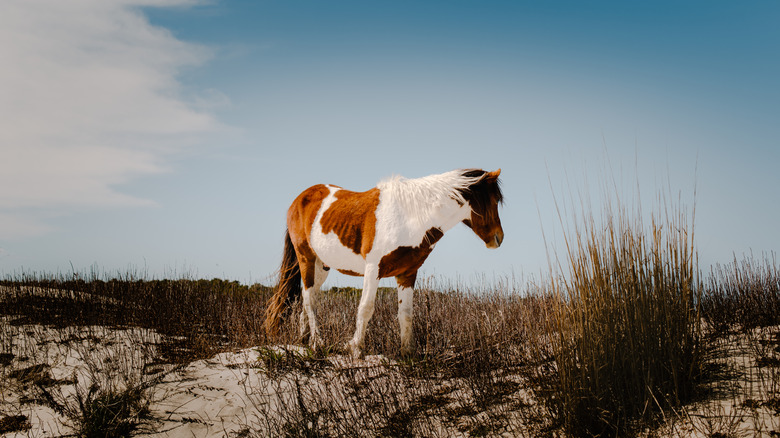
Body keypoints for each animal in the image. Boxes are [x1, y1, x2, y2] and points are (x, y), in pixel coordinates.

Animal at [264, 168, 504, 358]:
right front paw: (355, 348)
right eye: (493, 201)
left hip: (321, 265)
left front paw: (408, 353)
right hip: (306, 258)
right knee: (309, 300)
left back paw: (305, 341)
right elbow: (365, 308)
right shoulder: (373, 269)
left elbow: (406, 314)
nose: (498, 239)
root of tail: (300, 199)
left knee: (308, 298)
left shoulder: (407, 274)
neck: (411, 216)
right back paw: (318, 343)